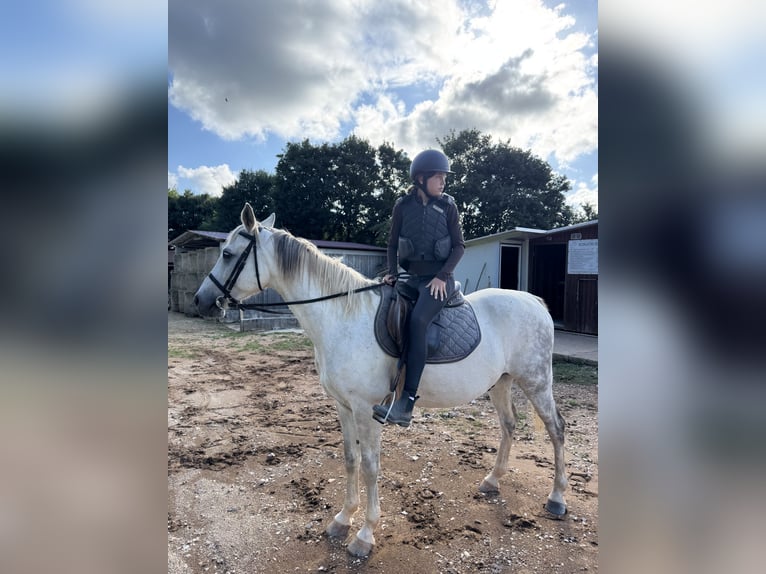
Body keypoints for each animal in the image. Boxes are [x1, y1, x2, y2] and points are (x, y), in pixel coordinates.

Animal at [193, 203, 567, 557]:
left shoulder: (366, 409)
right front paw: (343, 518)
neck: (342, 318)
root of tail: (534, 301)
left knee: (556, 428)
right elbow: (350, 459)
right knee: (509, 424)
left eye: (228, 254)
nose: (200, 301)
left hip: (536, 382)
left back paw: (557, 497)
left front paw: (365, 534)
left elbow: (371, 466)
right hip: (501, 382)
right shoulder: (343, 407)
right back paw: (493, 480)